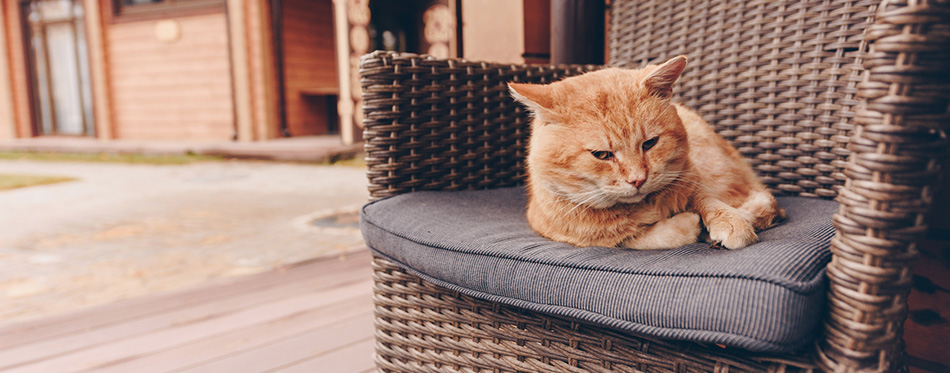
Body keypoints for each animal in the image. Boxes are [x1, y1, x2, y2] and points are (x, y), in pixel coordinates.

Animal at [510, 56, 784, 248]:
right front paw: (688, 224)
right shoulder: (577, 235)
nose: (638, 180)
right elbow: (641, 237)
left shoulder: (693, 178)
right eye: (602, 155)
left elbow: (706, 198)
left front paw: (729, 221)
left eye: (649, 143)